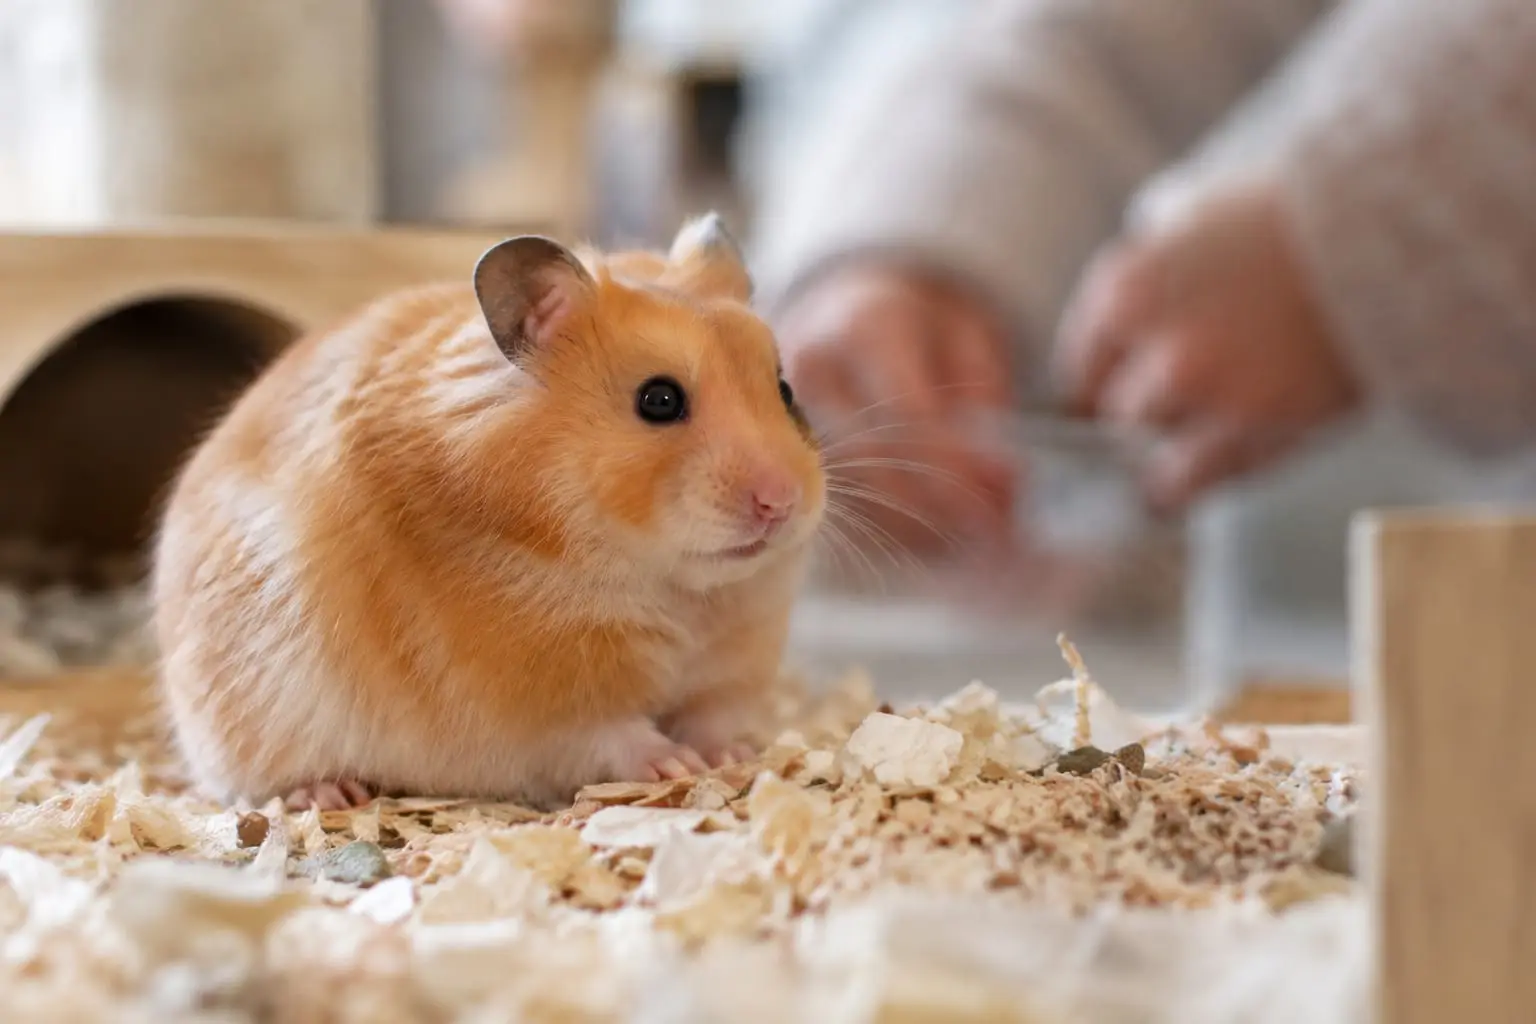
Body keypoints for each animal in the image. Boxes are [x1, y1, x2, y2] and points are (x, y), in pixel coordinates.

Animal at [150, 214, 826, 811]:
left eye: (787, 391)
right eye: (658, 400)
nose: (780, 503)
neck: (678, 590)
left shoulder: (730, 663)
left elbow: (713, 715)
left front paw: (732, 754)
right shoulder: (545, 700)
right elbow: (615, 734)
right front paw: (675, 764)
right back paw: (330, 794)